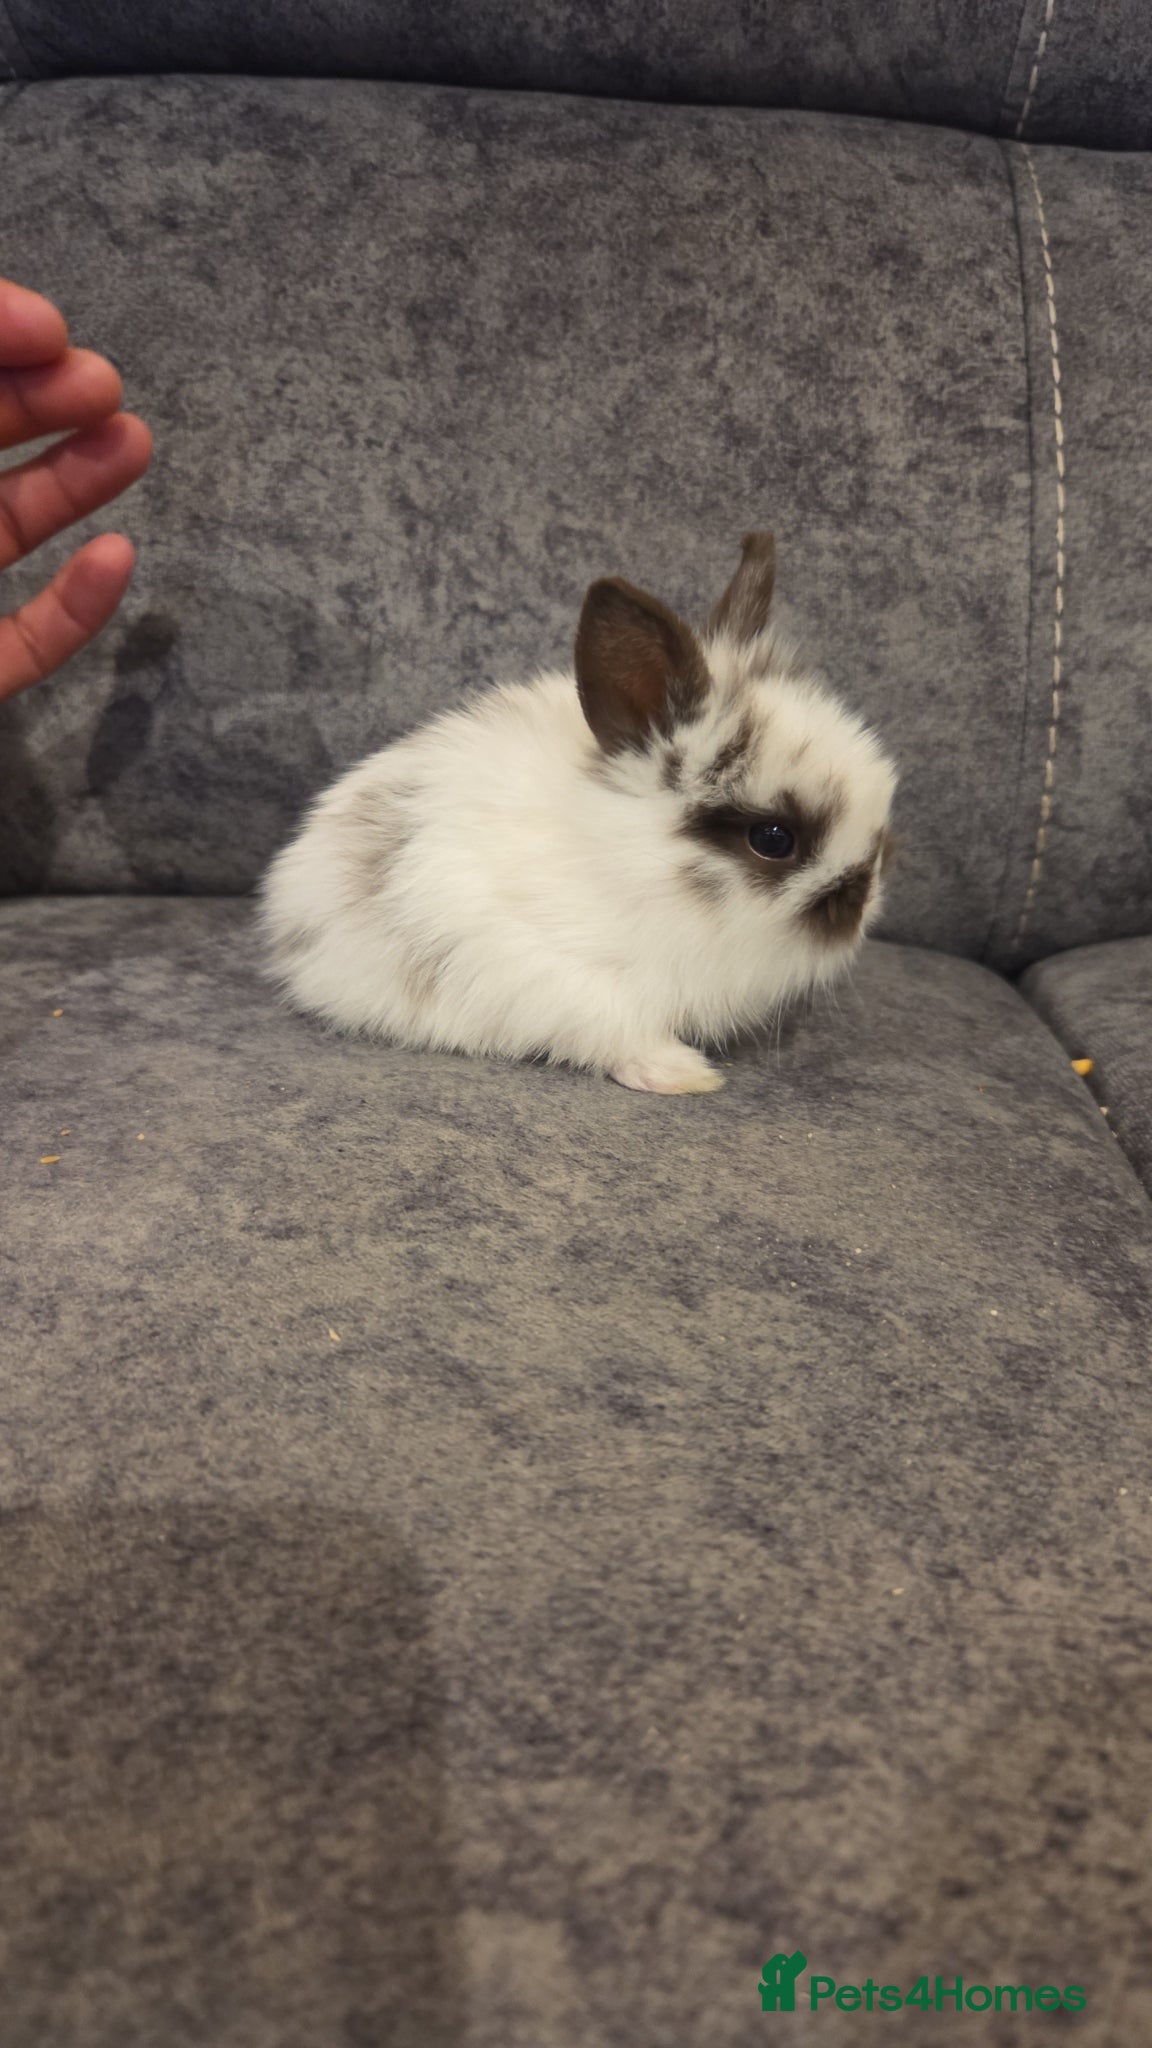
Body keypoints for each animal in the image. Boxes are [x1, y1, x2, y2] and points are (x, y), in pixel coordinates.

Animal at [260, 533, 898, 1093]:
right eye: (772, 838)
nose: (860, 909)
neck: (633, 868)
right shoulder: (564, 978)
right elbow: (621, 1033)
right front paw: (685, 1076)